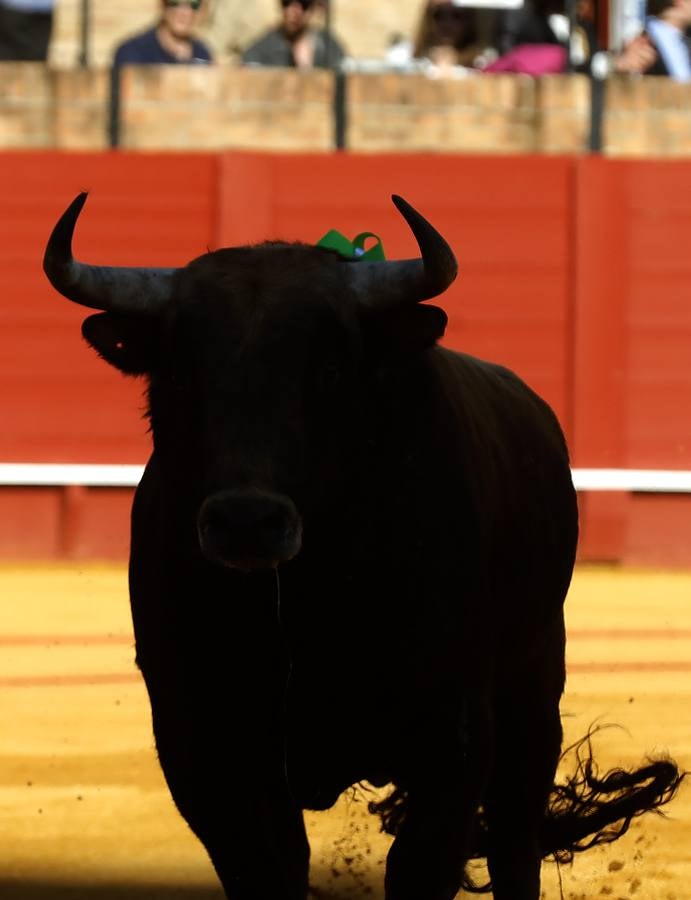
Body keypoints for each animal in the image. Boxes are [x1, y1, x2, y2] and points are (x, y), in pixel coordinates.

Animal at [44, 195, 688, 900]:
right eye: (180, 374)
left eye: (328, 371)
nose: (246, 521)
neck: (309, 595)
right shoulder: (202, 744)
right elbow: (266, 866)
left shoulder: (454, 740)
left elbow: (421, 866)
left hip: (534, 695)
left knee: (515, 845)